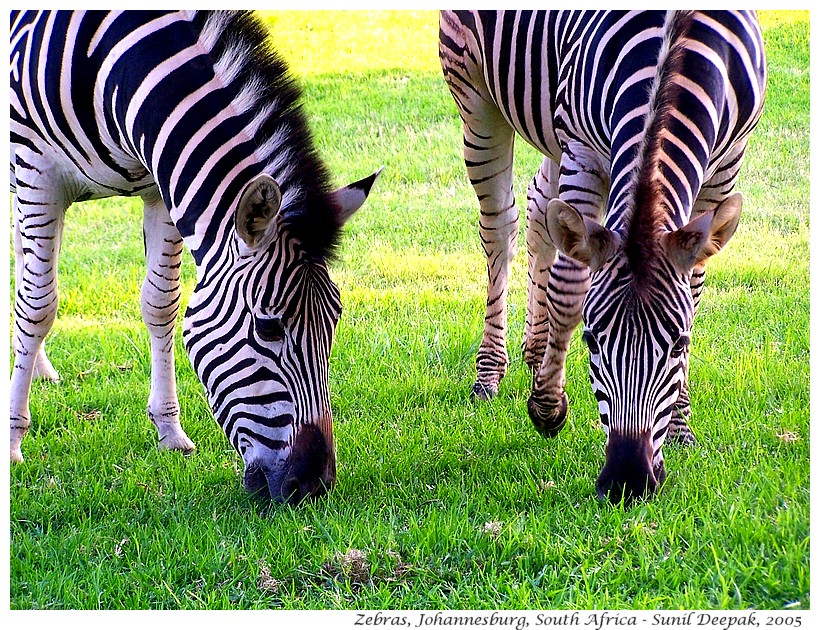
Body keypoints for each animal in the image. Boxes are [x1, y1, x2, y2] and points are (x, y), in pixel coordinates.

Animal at [9, 8, 382, 504]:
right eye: (268, 327)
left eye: (335, 321)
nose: (313, 486)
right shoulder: (40, 174)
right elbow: (38, 307)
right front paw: (13, 440)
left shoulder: (160, 182)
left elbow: (160, 305)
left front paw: (170, 431)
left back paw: (41, 367)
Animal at [442, 9, 768, 504]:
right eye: (592, 341)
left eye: (679, 343)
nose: (626, 482)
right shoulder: (583, 150)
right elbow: (569, 287)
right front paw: (548, 408)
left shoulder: (725, 167)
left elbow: (693, 287)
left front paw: (681, 425)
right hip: (475, 94)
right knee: (501, 225)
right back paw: (491, 371)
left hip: (548, 127)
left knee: (541, 209)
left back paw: (535, 348)